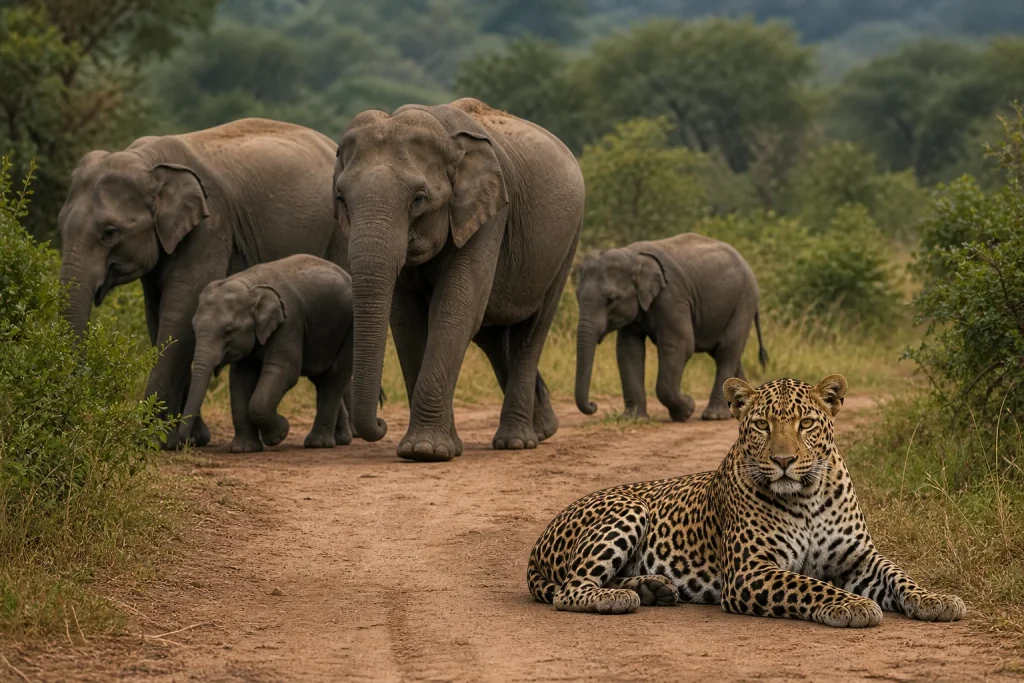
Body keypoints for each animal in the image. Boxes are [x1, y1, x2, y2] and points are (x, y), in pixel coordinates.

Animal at [179, 254, 354, 452]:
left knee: (335, 377)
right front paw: (243, 449)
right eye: (193, 328)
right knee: (320, 379)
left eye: (228, 331)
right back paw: (339, 439)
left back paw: (318, 444)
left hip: (349, 329)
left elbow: (284, 370)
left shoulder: (290, 322)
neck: (250, 285)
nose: (191, 440)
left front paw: (279, 434)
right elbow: (241, 378)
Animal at [332, 97, 584, 462]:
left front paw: (426, 451)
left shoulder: (490, 213)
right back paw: (543, 429)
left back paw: (517, 442)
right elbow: (407, 320)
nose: (381, 423)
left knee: (531, 332)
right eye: (341, 199)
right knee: (493, 337)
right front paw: (435, 448)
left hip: (567, 244)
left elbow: (455, 307)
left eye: (419, 199)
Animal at [527, 374, 966, 627]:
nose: (784, 461)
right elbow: (806, 584)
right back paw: (620, 598)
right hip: (629, 509)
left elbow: (900, 575)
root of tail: (540, 538)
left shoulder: (858, 558)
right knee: (570, 589)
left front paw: (937, 599)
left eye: (806, 423)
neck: (807, 496)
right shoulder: (749, 570)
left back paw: (654, 589)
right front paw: (852, 605)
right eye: (761, 425)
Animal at [574, 233, 768, 422]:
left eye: (611, 300)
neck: (632, 256)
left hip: (744, 302)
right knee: (727, 353)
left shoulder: (671, 296)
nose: (593, 405)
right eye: (577, 296)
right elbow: (628, 351)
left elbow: (679, 345)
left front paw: (686, 410)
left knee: (727, 351)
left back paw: (715, 416)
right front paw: (633, 419)